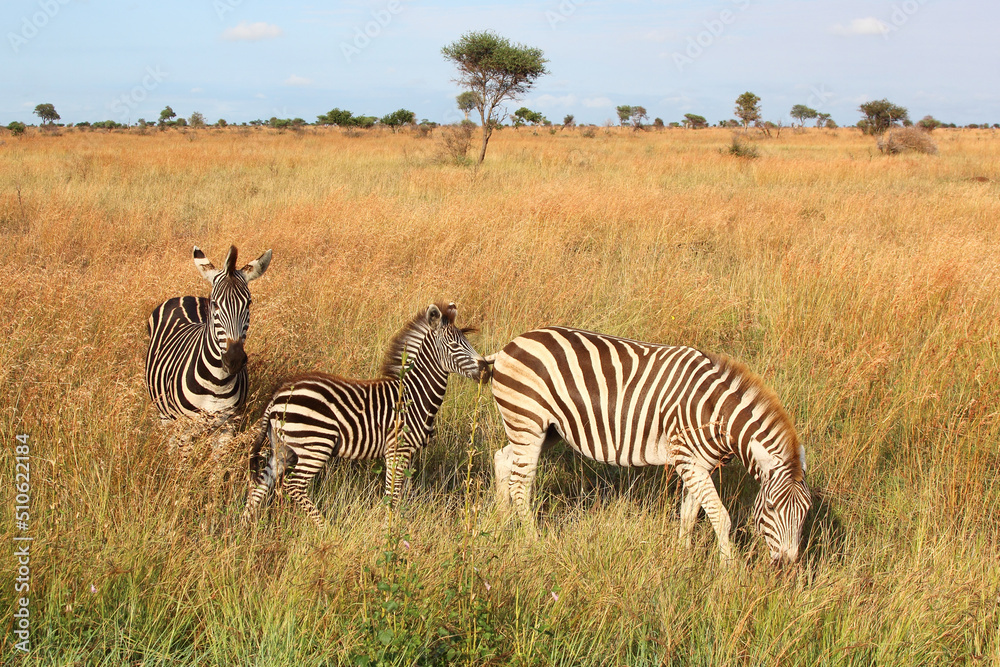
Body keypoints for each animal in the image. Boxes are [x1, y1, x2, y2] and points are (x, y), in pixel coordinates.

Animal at [145, 245, 272, 459]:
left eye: (248, 303)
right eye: (214, 303)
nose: (234, 360)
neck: (217, 383)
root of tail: (183, 297)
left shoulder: (228, 426)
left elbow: (217, 466)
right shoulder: (186, 427)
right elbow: (184, 464)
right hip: (166, 414)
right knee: (170, 441)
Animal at [241, 302, 490, 528]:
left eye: (468, 343)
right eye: (454, 345)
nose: (487, 371)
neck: (414, 393)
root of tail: (278, 395)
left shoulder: (408, 453)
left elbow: (406, 493)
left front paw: (402, 526)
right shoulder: (396, 449)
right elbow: (393, 493)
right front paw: (389, 529)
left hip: (282, 448)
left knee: (261, 485)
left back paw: (245, 529)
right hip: (315, 446)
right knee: (293, 486)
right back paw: (325, 529)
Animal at [489, 326, 811, 565]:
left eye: (806, 512)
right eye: (770, 507)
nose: (785, 567)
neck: (714, 412)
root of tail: (509, 346)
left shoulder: (699, 464)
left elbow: (690, 514)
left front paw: (682, 557)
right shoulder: (688, 460)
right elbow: (721, 517)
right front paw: (729, 571)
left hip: (543, 430)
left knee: (502, 460)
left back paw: (501, 523)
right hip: (528, 421)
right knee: (521, 484)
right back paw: (533, 540)